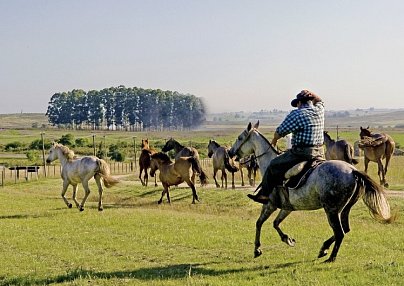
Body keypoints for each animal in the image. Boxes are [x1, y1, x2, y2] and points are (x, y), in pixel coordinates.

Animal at [229, 122, 392, 262]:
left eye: (240, 138)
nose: (231, 152)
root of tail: (353, 171)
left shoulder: (270, 205)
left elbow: (259, 223)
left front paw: (257, 249)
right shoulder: (287, 207)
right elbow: (276, 223)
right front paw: (288, 239)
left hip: (332, 210)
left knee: (339, 232)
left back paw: (330, 257)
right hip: (345, 209)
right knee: (345, 229)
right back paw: (323, 249)